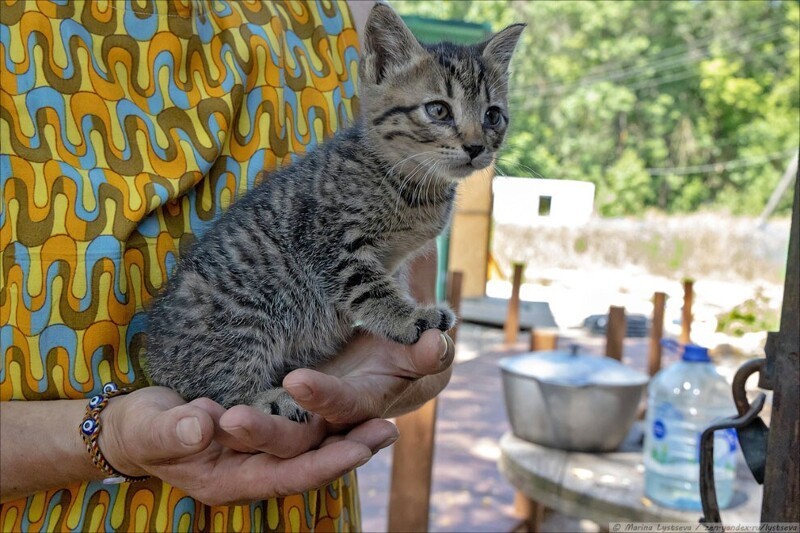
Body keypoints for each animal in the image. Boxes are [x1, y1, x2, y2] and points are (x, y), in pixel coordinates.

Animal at [145, 4, 524, 420]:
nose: (476, 147)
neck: (411, 184)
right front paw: (406, 317)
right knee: (220, 390)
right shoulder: (327, 240)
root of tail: (156, 360)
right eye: (438, 110)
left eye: (492, 116)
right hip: (246, 318)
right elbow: (368, 288)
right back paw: (267, 398)